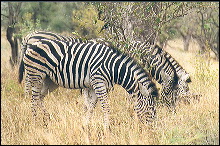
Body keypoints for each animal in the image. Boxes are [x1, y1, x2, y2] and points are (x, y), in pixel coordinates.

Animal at [18, 37, 158, 129]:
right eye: (150, 109)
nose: (153, 130)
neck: (114, 68)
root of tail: (31, 44)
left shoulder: (96, 86)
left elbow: (91, 107)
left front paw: (86, 125)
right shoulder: (99, 83)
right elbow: (105, 106)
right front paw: (107, 128)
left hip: (50, 80)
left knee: (40, 97)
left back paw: (47, 118)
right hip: (36, 75)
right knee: (33, 99)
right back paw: (35, 123)